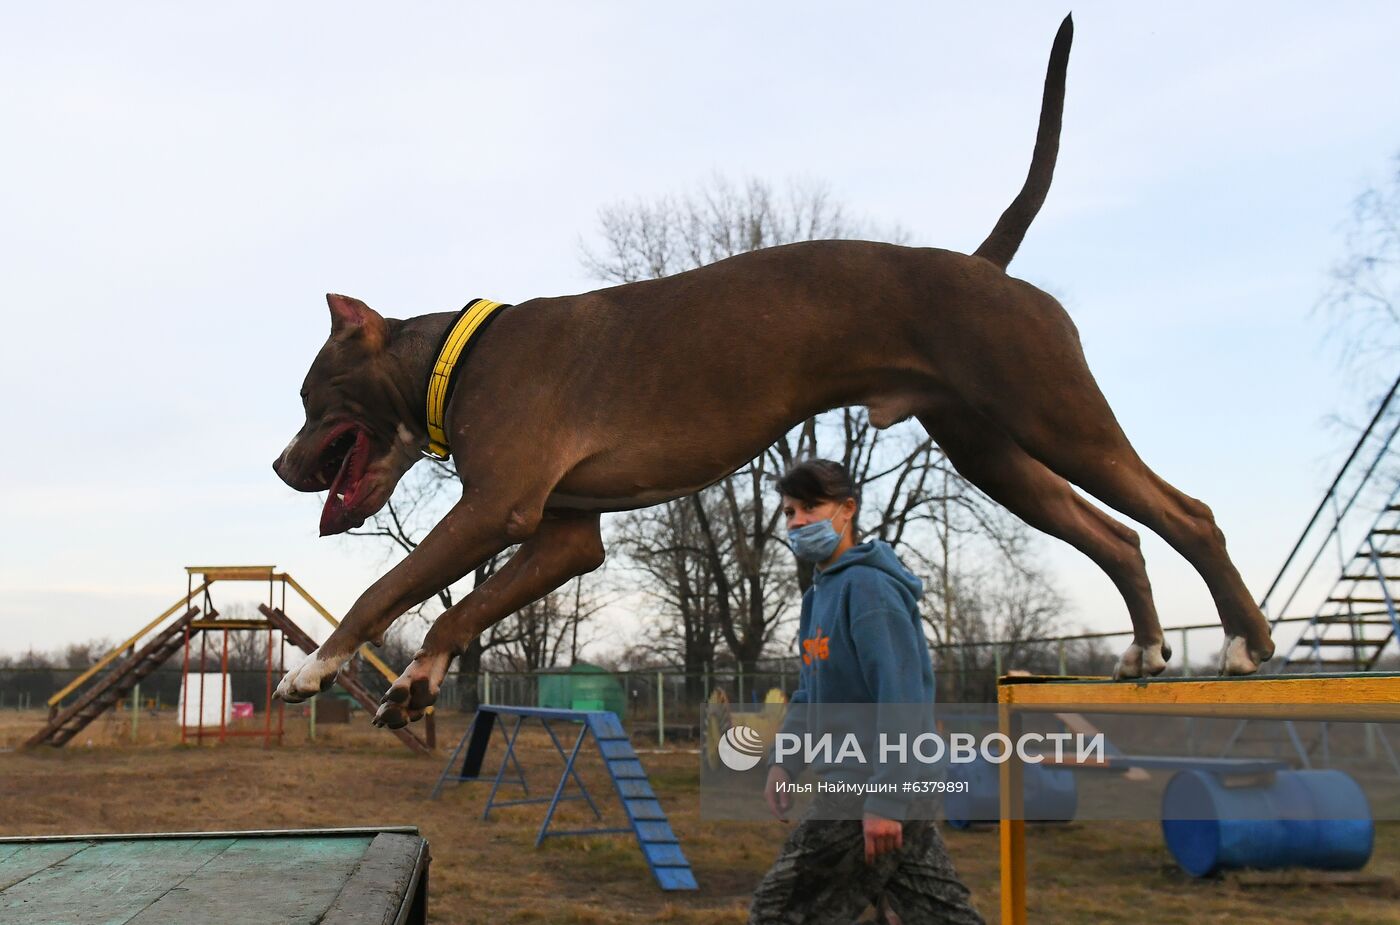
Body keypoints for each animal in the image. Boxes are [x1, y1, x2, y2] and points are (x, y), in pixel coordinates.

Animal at [267, 12, 1276, 722]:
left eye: (313, 398)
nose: (279, 464)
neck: (454, 358)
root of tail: (985, 267)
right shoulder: (564, 536)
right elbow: (456, 610)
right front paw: (417, 680)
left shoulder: (497, 508)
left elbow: (389, 586)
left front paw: (315, 666)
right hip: (997, 454)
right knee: (1120, 535)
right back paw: (1147, 648)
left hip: (1056, 416)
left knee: (1188, 513)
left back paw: (1243, 642)